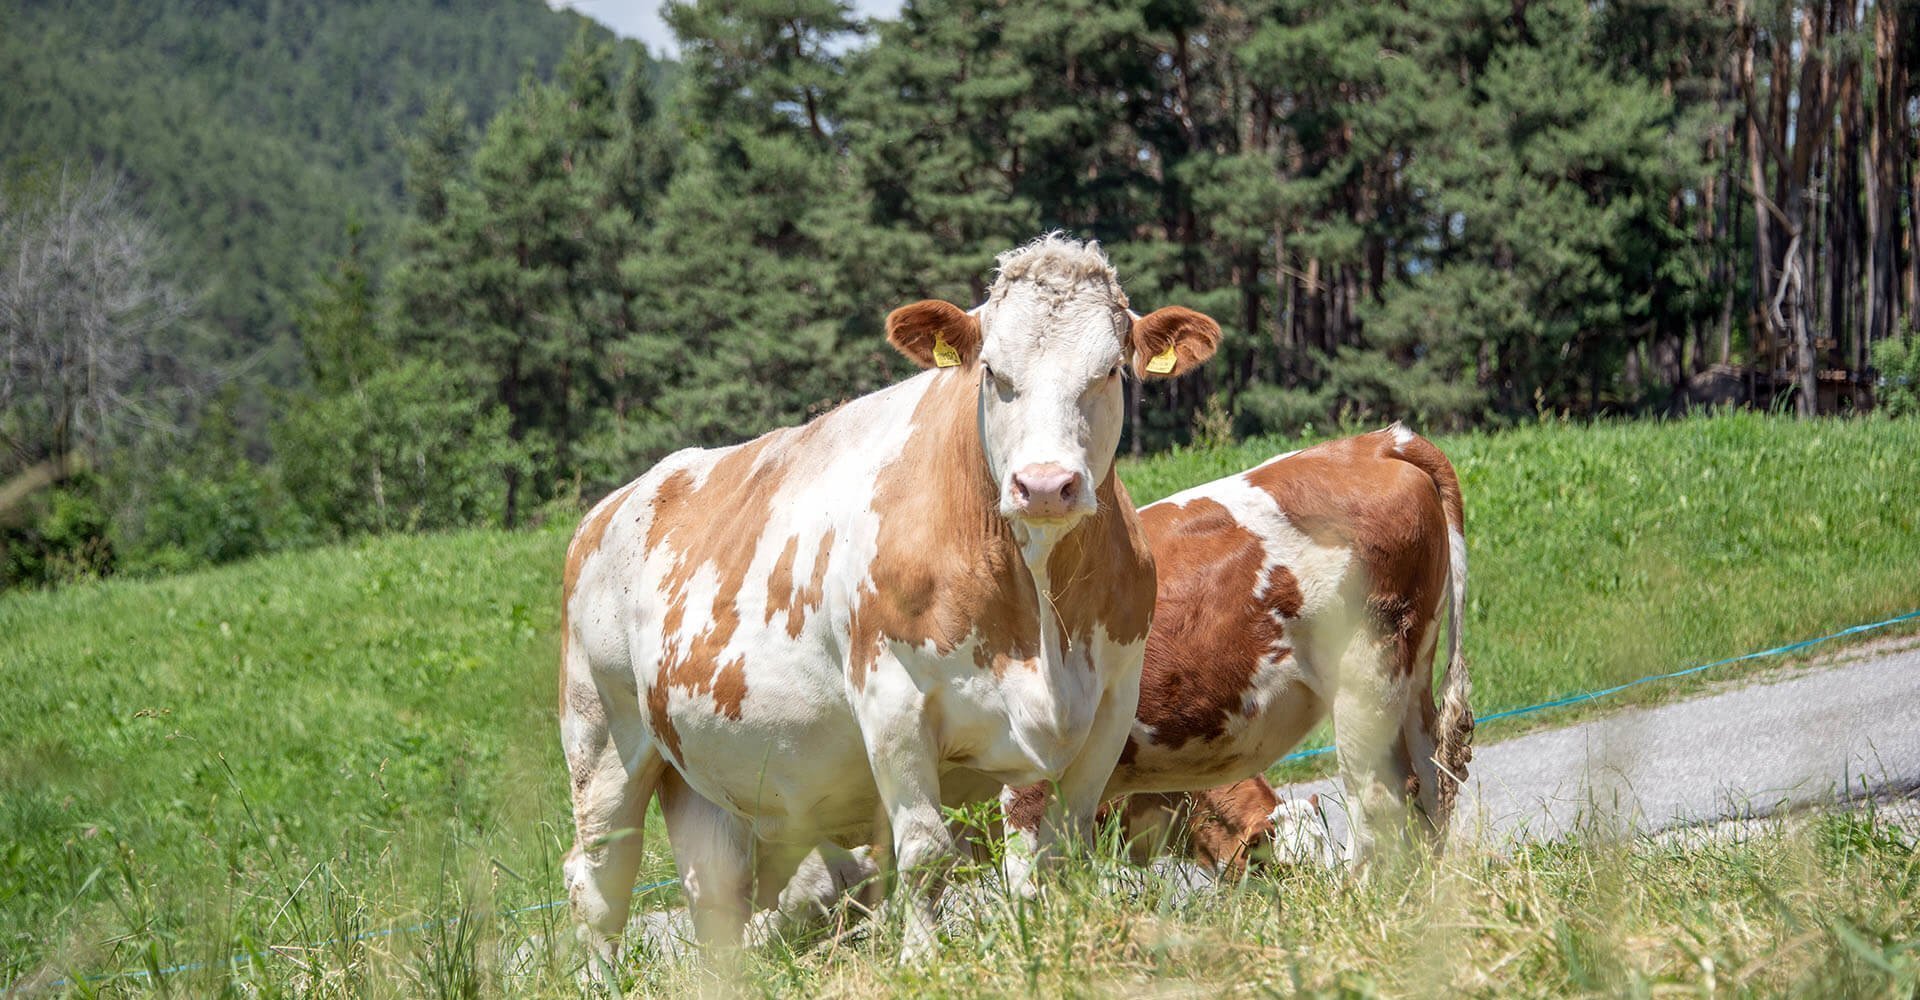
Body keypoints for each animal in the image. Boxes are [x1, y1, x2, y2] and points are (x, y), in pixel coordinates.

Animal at [556, 234, 1213, 967]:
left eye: (1110, 371)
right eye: (992, 373)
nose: (1045, 485)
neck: (1039, 613)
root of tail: (616, 503)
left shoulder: (1110, 704)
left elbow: (1065, 848)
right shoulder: (892, 698)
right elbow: (924, 851)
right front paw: (921, 961)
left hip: (704, 767)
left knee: (715, 889)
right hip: (602, 737)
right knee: (597, 879)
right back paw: (600, 975)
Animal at [1013, 424, 1474, 867]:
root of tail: (1378, 443)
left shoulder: (1033, 784)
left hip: (1365, 676)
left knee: (1380, 801)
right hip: (1412, 675)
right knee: (1432, 789)